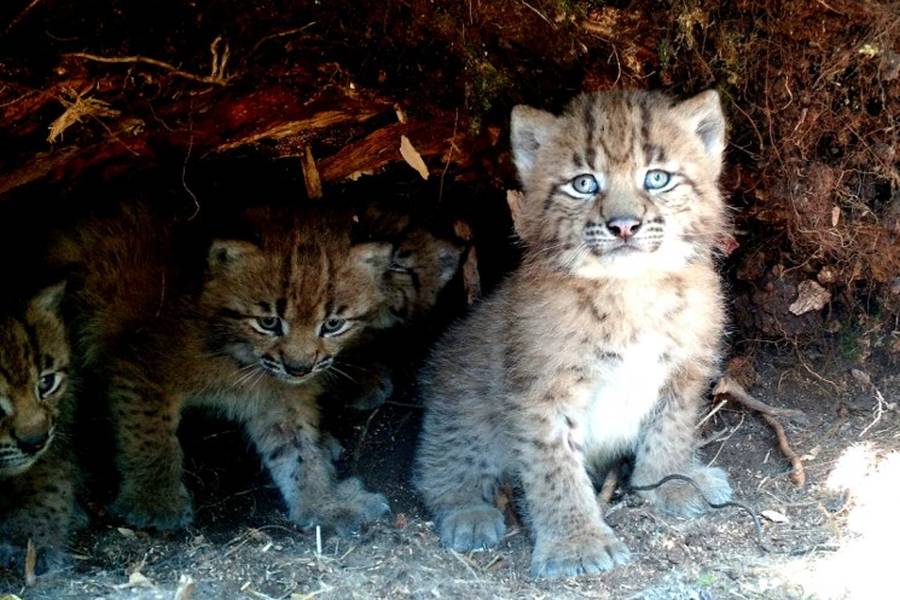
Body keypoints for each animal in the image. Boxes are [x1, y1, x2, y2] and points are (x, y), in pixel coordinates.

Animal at [418, 88, 736, 576]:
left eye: (657, 178)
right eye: (584, 184)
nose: (623, 225)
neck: (632, 287)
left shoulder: (685, 370)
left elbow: (672, 429)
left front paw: (669, 481)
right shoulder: (541, 391)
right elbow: (554, 468)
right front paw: (576, 543)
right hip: (461, 396)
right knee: (440, 461)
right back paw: (468, 513)